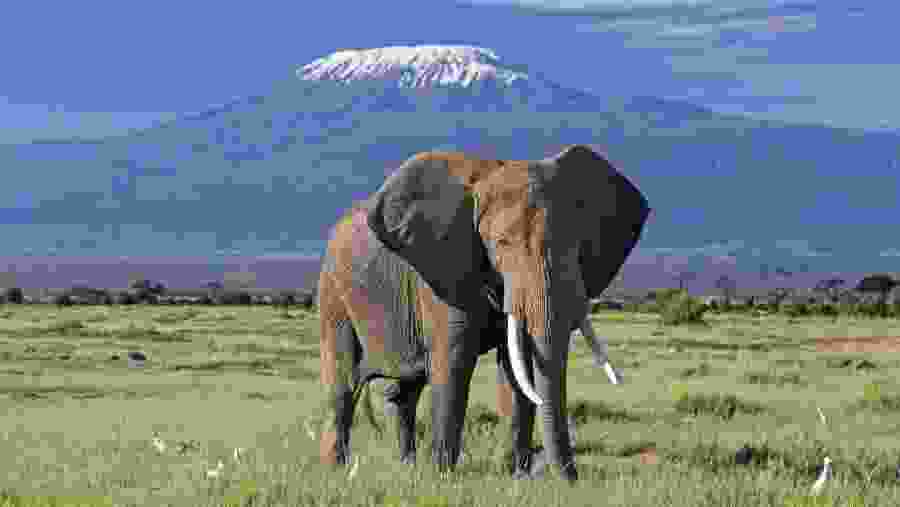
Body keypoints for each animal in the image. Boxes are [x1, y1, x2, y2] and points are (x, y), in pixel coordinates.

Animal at [318, 145, 650, 482]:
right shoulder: (443, 273)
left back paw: (406, 467)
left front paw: (518, 478)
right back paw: (337, 469)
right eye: (501, 243)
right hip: (333, 292)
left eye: (577, 242)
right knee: (344, 382)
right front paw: (442, 478)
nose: (571, 481)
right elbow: (453, 361)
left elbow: (516, 369)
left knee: (405, 391)